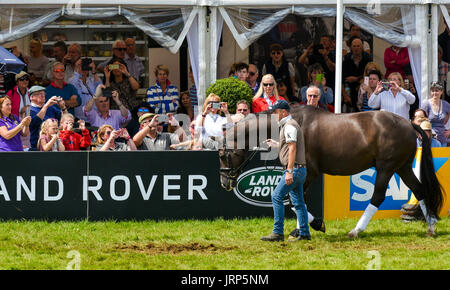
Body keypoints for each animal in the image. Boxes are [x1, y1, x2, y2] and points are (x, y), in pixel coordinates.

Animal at [220, 105, 444, 237]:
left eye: (223, 155)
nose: (224, 182)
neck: (296, 122)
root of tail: (409, 123)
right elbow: (297, 202)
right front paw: (302, 229)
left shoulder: (309, 172)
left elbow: (294, 201)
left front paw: (316, 225)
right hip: (403, 167)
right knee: (419, 190)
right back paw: (431, 227)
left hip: (386, 168)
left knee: (378, 196)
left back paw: (356, 230)